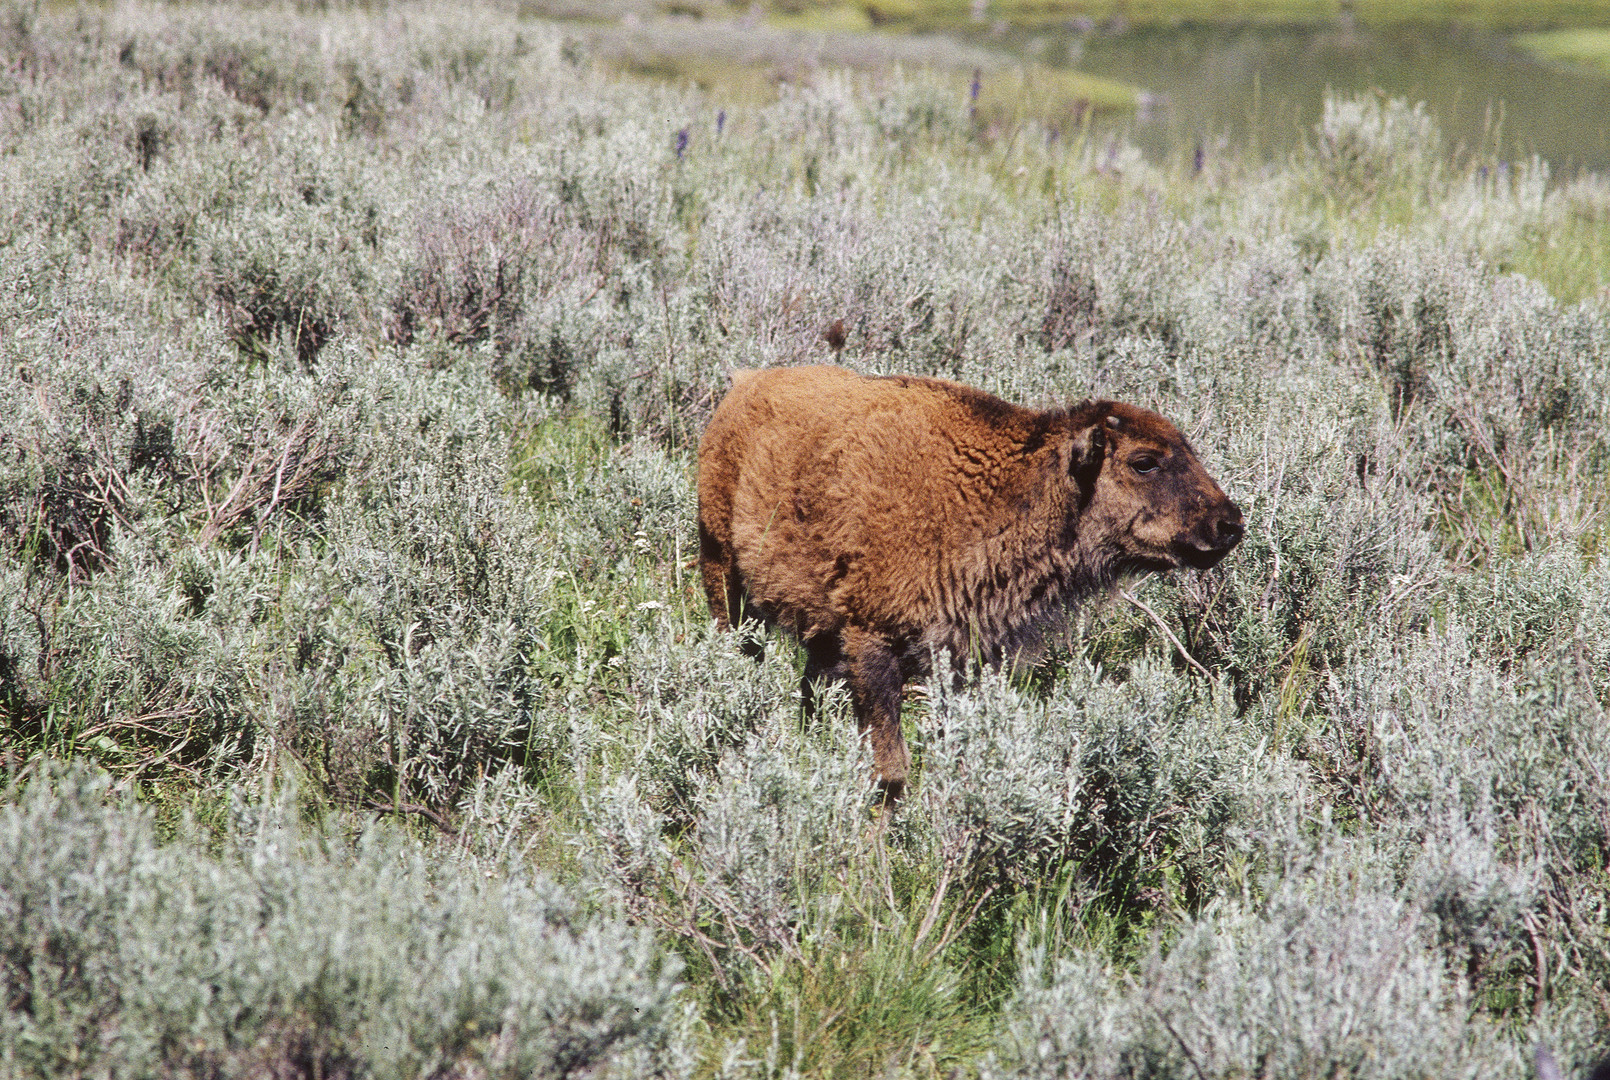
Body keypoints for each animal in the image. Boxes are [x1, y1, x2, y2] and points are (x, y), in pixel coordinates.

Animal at [695, 365, 1242, 801]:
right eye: (1143, 461)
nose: (1230, 524)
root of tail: (743, 388)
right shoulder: (872, 641)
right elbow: (891, 771)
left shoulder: (960, 659)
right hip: (723, 578)